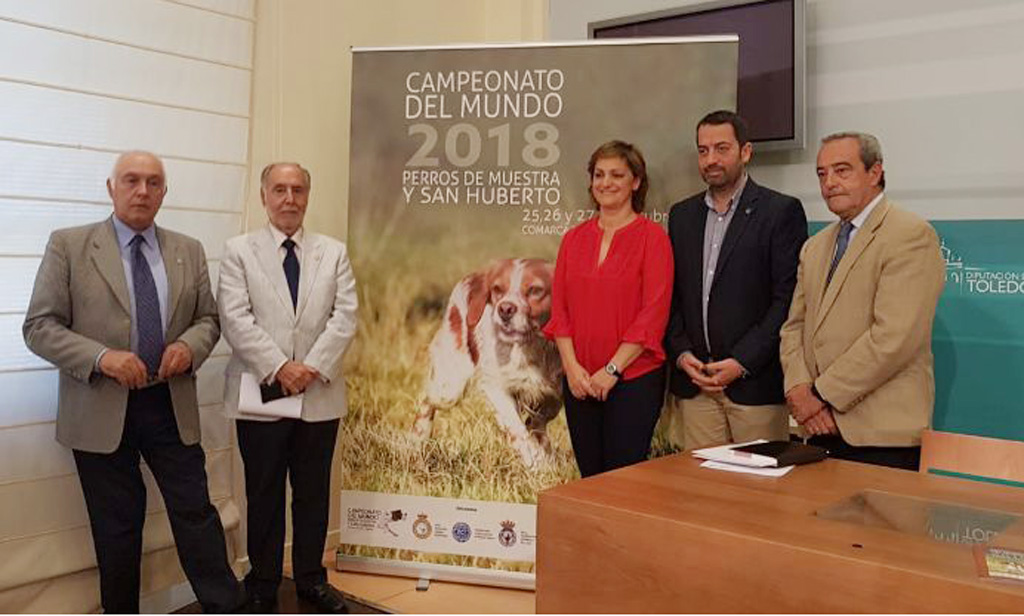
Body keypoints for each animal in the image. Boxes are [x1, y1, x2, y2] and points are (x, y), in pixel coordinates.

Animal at [412, 258, 563, 468]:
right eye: (497, 289)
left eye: (535, 290)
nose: (505, 309)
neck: (534, 347)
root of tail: (473, 276)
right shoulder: (495, 386)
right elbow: (517, 430)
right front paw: (536, 464)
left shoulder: (555, 393)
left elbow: (534, 425)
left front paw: (544, 460)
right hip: (448, 386)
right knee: (425, 400)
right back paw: (415, 444)